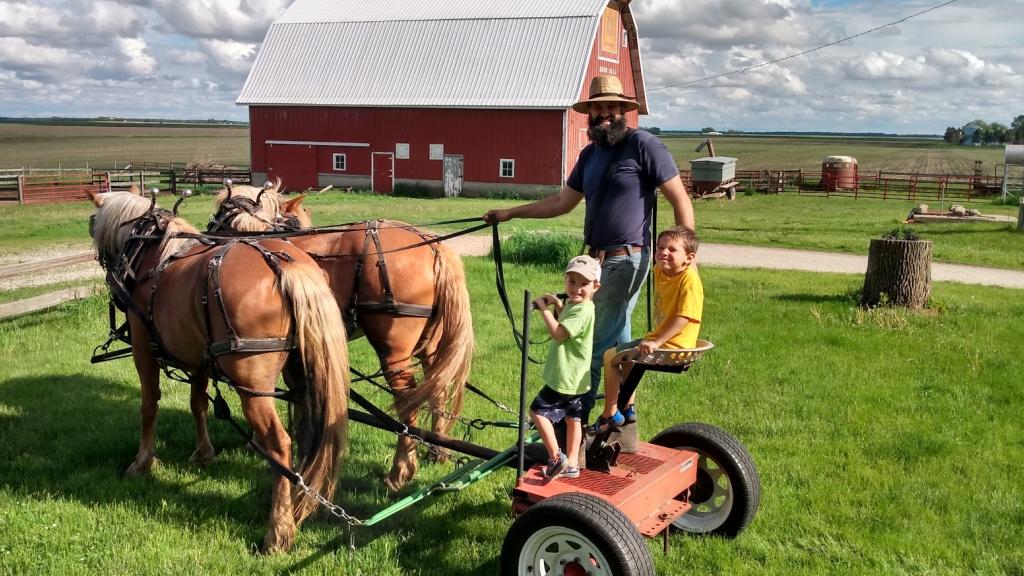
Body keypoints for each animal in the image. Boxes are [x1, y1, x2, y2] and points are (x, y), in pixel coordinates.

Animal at [90, 189, 352, 553]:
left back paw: (278, 531)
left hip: (252, 385)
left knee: (279, 443)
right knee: (306, 429)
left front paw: (142, 461)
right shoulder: (199, 357)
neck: (152, 251)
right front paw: (203, 452)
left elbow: (149, 405)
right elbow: (198, 404)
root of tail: (284, 264)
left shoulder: (143, 347)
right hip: (300, 374)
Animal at [214, 182, 477, 487]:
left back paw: (399, 471)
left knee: (407, 403)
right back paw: (438, 451)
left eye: (222, 215)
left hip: (394, 351)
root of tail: (431, 244)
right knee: (437, 389)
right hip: (431, 342)